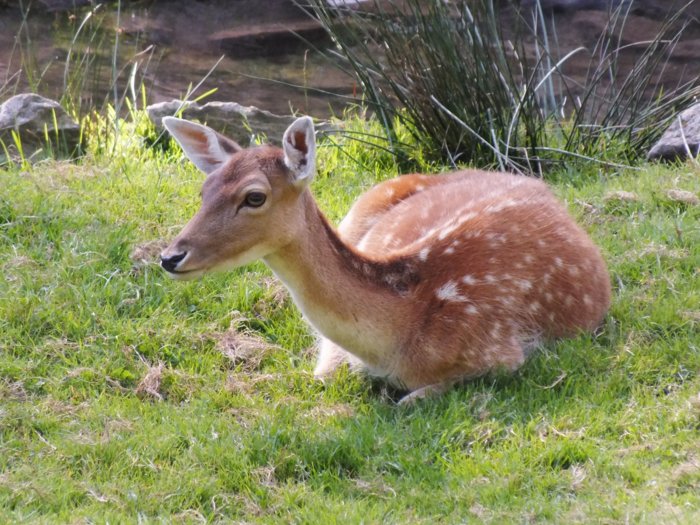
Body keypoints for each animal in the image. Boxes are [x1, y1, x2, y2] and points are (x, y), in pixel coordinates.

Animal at [161, 115, 608, 402]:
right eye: (205, 190)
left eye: (254, 196)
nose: (170, 256)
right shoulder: (330, 352)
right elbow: (322, 373)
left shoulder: (501, 351)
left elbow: (413, 398)